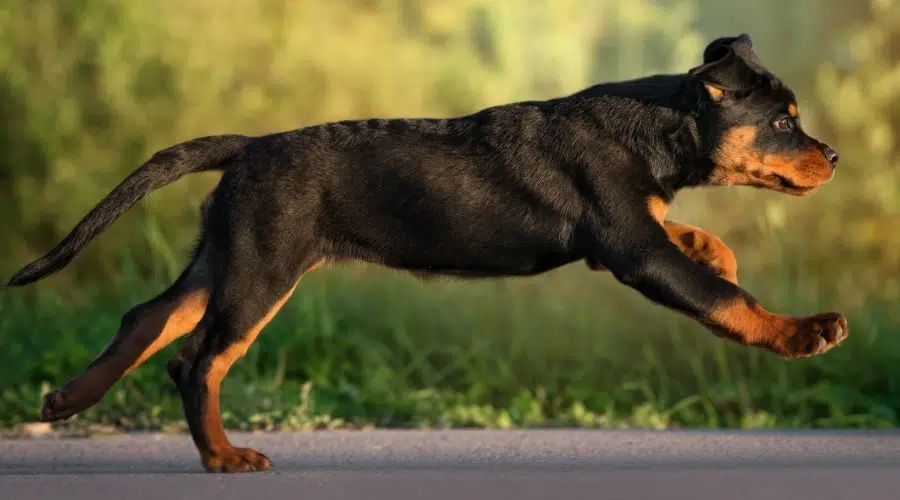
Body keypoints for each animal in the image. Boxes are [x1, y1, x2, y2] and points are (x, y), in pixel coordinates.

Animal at [5, 34, 844, 472]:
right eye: (782, 122)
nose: (833, 157)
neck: (658, 126)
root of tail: (248, 147)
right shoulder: (631, 248)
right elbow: (724, 300)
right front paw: (805, 332)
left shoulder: (634, 233)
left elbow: (695, 247)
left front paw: (716, 245)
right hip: (263, 267)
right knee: (198, 360)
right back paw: (223, 457)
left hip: (227, 254)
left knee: (150, 317)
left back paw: (68, 400)